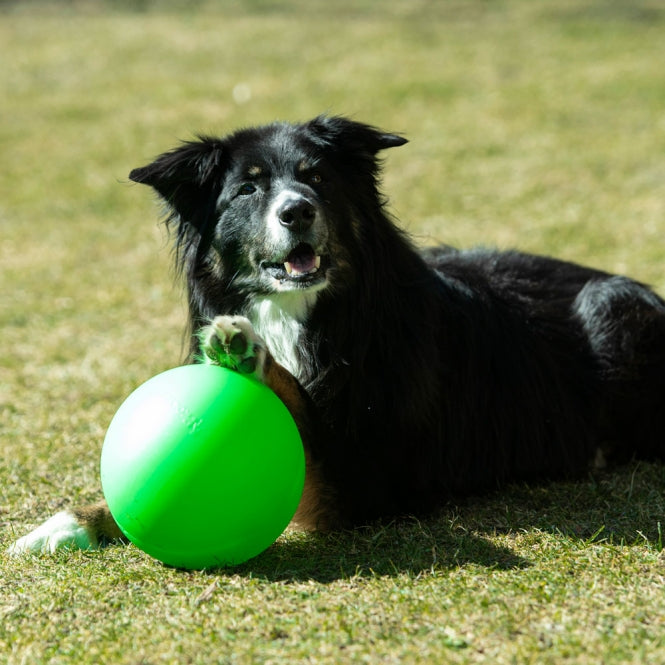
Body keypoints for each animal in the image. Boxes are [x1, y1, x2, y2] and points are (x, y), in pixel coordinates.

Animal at [9, 115, 664, 556]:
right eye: (247, 188)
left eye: (317, 177)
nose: (296, 210)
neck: (308, 313)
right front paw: (68, 522)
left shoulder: (371, 481)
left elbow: (305, 422)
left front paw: (249, 353)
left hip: (614, 304)